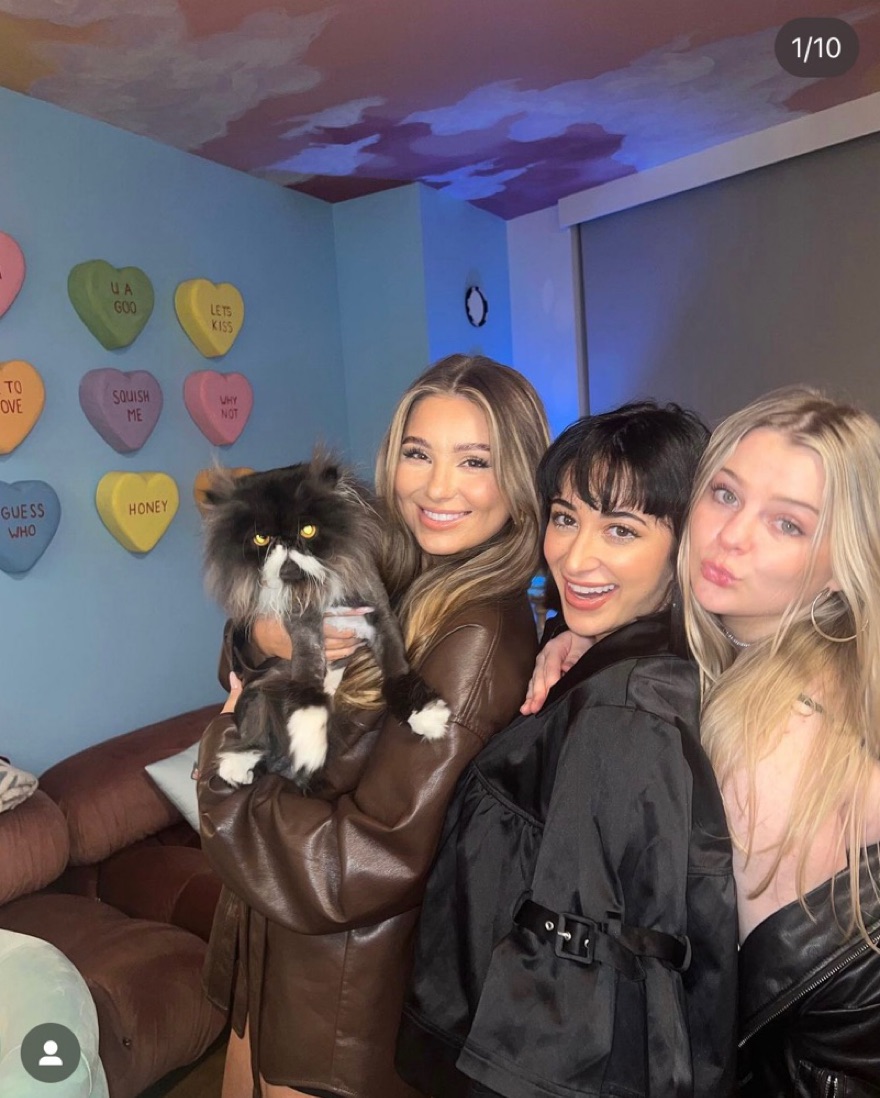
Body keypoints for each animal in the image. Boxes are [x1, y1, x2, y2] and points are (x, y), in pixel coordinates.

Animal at [200, 454, 451, 788]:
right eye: (261, 538)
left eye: (307, 530)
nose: (285, 542)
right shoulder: (304, 630)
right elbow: (307, 687)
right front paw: (308, 745)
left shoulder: (380, 618)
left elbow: (397, 672)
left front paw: (425, 715)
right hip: (260, 688)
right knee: (252, 727)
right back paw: (236, 766)